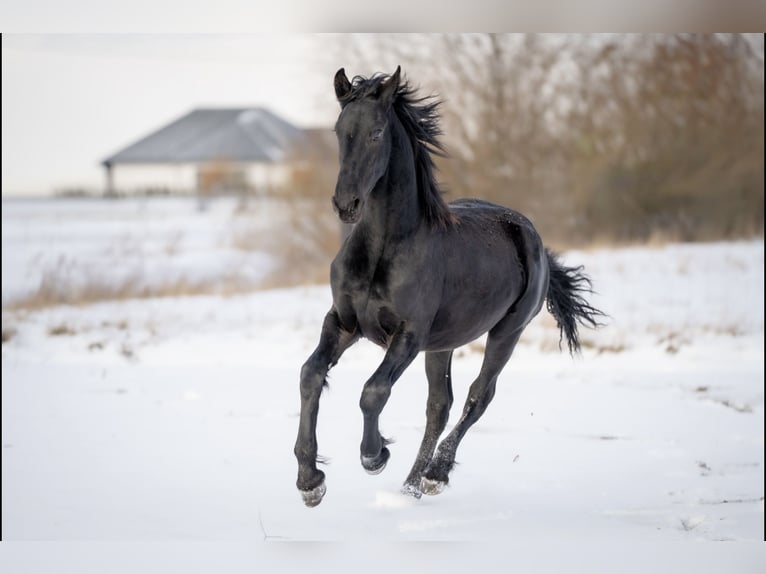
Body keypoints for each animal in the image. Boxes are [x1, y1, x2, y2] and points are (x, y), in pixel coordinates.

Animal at [294, 66, 604, 507]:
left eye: (376, 133)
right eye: (340, 131)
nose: (346, 204)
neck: (384, 250)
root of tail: (535, 239)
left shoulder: (408, 334)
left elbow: (373, 391)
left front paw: (374, 455)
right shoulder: (343, 323)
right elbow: (310, 375)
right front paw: (310, 481)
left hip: (506, 332)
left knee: (478, 396)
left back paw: (433, 475)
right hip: (441, 344)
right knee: (440, 405)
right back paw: (411, 485)